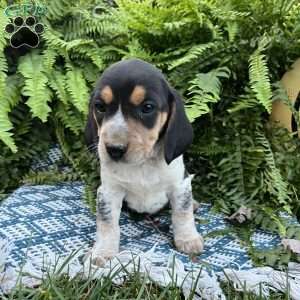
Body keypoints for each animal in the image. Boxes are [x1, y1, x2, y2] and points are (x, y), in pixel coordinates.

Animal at [84, 58, 204, 264]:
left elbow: (182, 213)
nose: (114, 149)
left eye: (147, 107)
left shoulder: (180, 185)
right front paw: (102, 251)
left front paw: (188, 239)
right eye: (100, 107)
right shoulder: (109, 192)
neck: (142, 164)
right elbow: (107, 223)